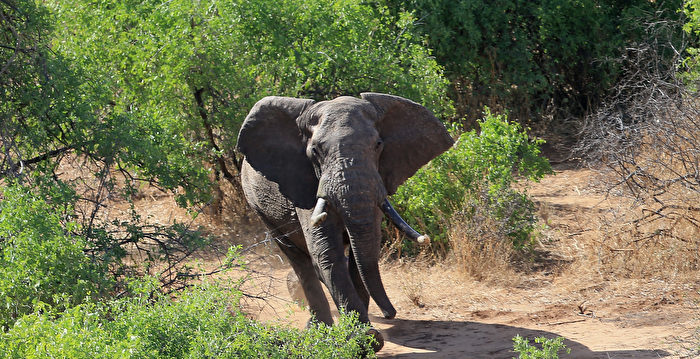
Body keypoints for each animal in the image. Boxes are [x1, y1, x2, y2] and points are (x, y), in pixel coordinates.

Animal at [235, 92, 454, 352]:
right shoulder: (303, 180)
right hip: (258, 207)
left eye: (378, 144)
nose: (390, 313)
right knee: (298, 259)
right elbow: (326, 251)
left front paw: (362, 333)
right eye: (315, 150)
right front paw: (364, 339)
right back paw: (317, 328)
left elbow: (363, 253)